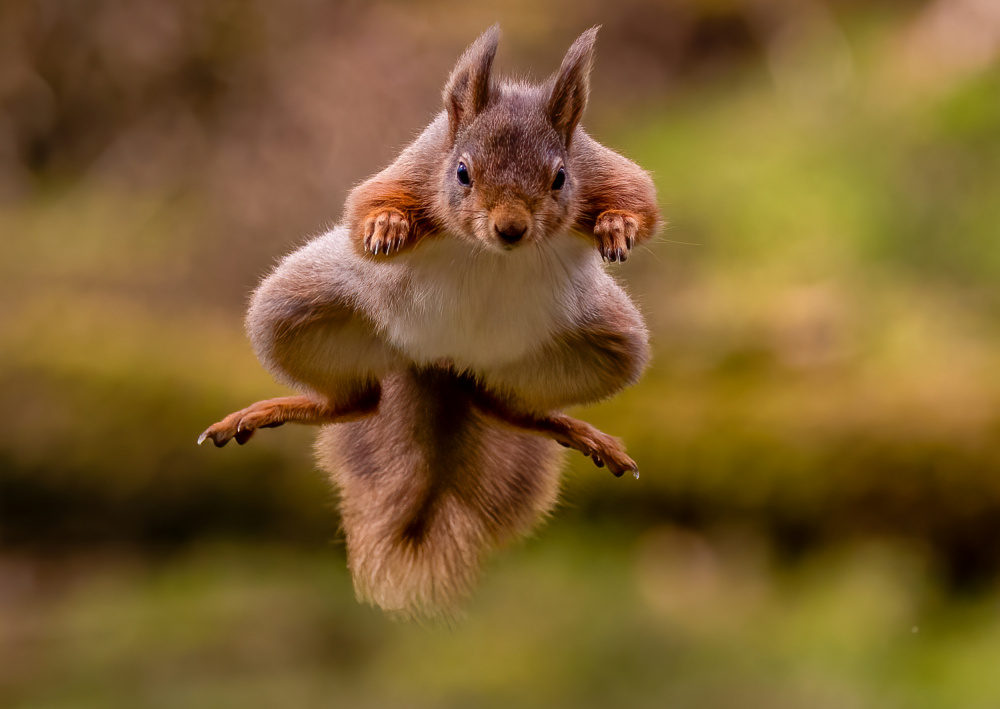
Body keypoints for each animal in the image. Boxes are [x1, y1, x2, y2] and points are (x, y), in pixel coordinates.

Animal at [198, 24, 660, 616]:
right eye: (461, 171)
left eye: (560, 178)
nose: (511, 229)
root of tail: (444, 365)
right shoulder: (417, 164)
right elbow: (371, 200)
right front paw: (386, 226)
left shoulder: (598, 165)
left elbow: (639, 197)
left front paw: (618, 225)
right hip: (289, 309)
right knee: (354, 401)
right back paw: (276, 409)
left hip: (609, 344)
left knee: (501, 405)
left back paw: (563, 426)